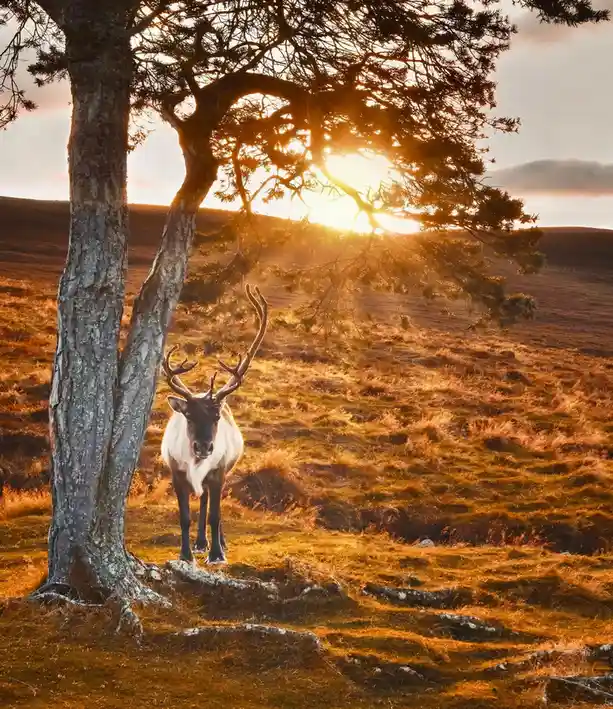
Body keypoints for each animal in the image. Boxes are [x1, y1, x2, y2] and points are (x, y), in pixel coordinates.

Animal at [160, 284, 268, 564]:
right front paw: (186, 554)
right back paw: (200, 542)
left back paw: (216, 542)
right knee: (204, 500)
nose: (203, 447)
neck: (195, 463)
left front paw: (217, 554)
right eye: (189, 415)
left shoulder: (218, 472)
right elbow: (185, 517)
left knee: (210, 504)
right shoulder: (176, 474)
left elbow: (215, 515)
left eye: (216, 416)